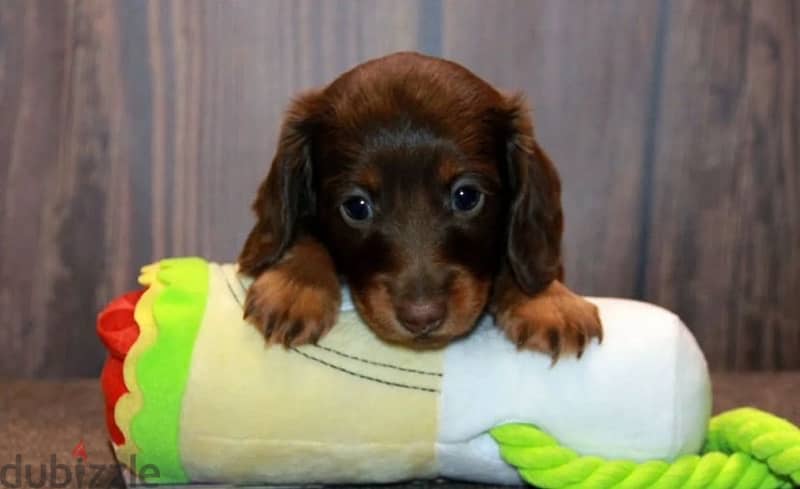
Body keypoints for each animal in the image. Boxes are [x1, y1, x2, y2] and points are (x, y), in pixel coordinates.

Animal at [238, 52, 600, 358]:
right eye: (356, 206)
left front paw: (549, 301)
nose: (422, 318)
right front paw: (296, 287)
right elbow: (305, 232)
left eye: (466, 197)